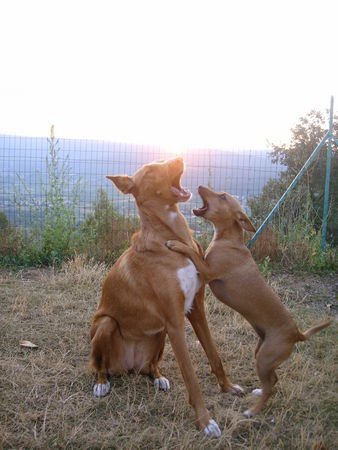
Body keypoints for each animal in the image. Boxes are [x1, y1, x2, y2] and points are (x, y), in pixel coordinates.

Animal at [88, 158, 240, 436]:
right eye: (149, 171)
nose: (179, 158)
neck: (174, 238)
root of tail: (127, 367)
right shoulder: (175, 321)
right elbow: (191, 377)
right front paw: (205, 422)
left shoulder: (196, 309)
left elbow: (214, 354)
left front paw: (227, 387)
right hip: (106, 324)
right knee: (98, 364)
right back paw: (102, 383)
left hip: (159, 334)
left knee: (150, 367)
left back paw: (158, 378)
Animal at [167, 185, 332, 416]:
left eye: (222, 197)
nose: (199, 187)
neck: (228, 241)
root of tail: (297, 334)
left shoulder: (207, 271)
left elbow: (191, 251)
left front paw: (176, 244)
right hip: (261, 353)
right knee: (273, 380)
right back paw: (258, 392)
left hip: (264, 358)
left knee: (271, 387)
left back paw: (252, 411)